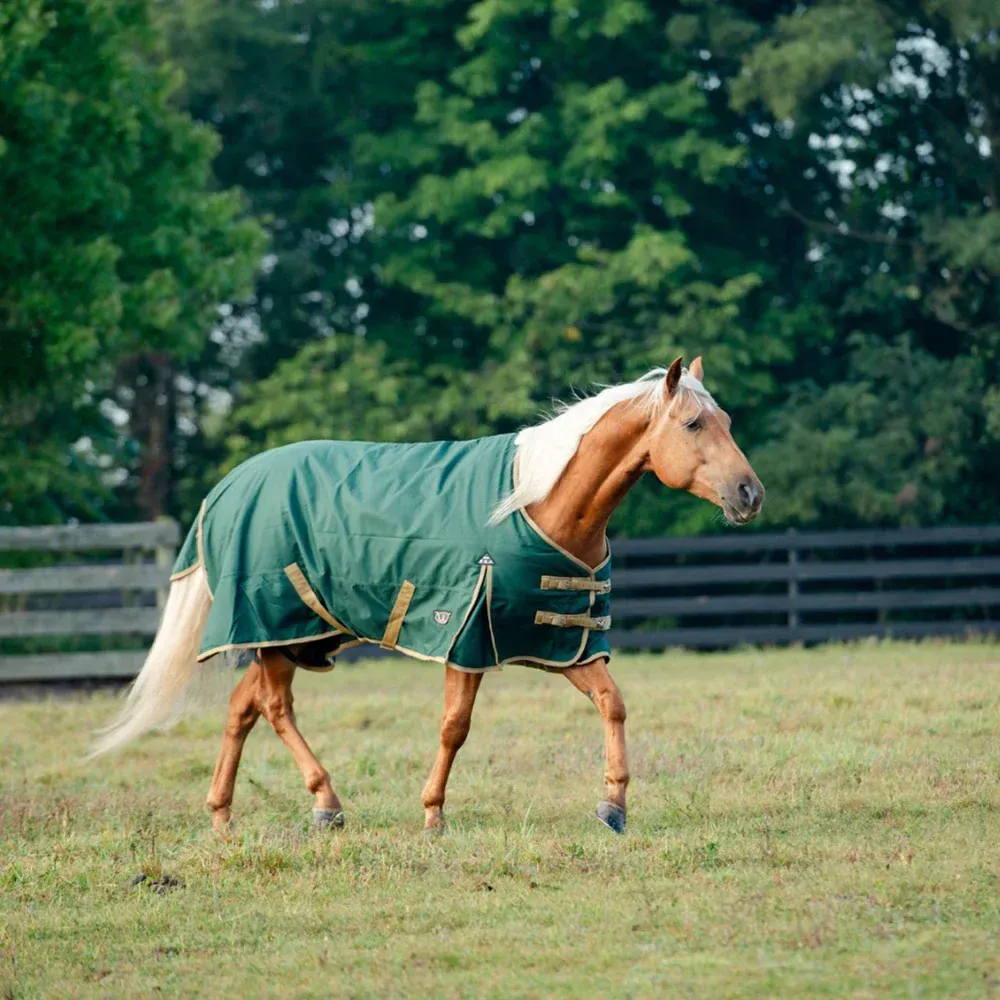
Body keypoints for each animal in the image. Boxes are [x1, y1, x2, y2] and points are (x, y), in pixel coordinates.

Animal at [92, 356, 763, 835]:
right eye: (694, 423)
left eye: (728, 423)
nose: (749, 494)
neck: (539, 501)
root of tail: (230, 485)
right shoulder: (466, 637)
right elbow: (454, 727)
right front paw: (434, 814)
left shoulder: (560, 642)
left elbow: (613, 705)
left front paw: (614, 806)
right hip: (277, 630)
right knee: (275, 709)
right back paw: (326, 803)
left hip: (297, 636)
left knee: (243, 708)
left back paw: (223, 815)